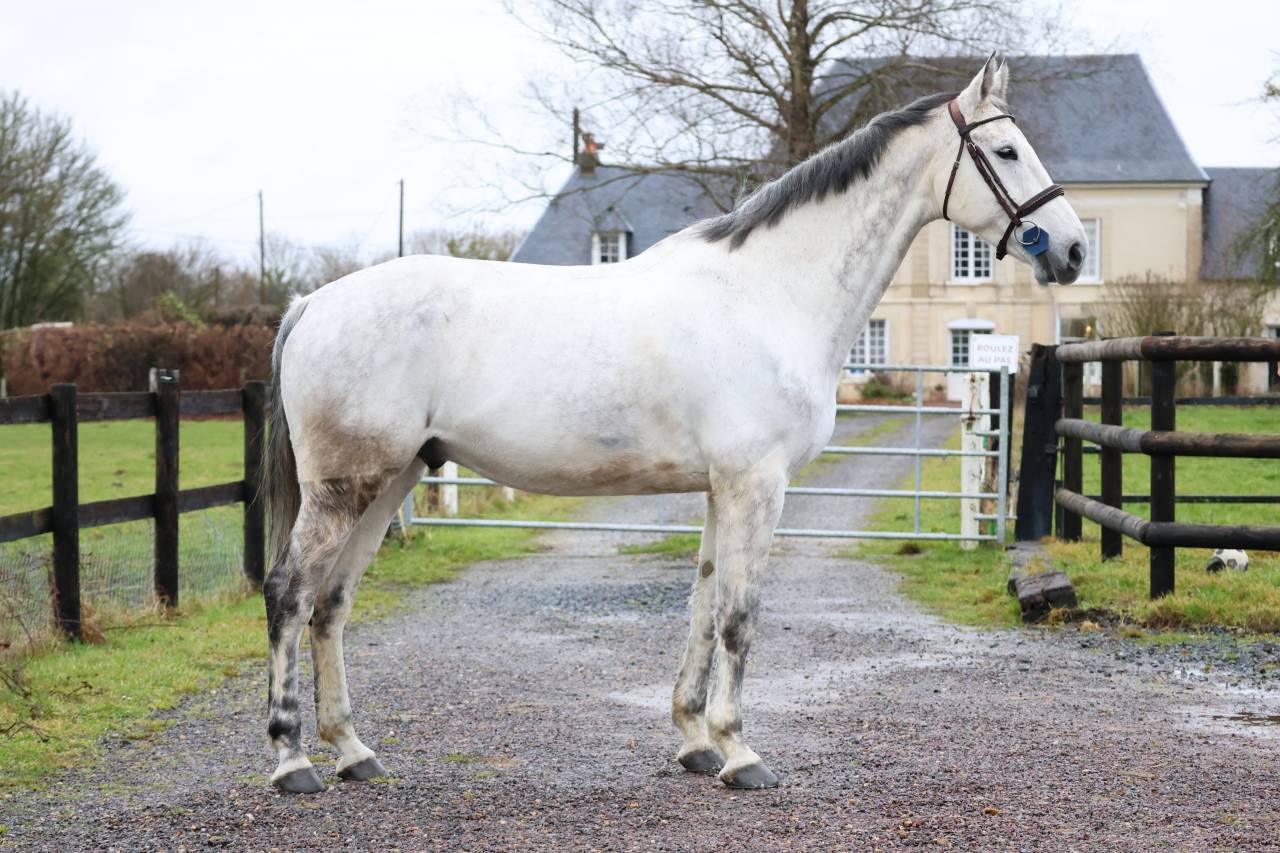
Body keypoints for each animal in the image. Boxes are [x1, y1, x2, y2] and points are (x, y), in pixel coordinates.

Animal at [260, 56, 1086, 794]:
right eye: (1007, 151)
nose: (1073, 248)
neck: (772, 292)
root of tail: (312, 303)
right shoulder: (757, 484)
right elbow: (741, 615)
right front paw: (741, 753)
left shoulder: (723, 487)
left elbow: (703, 602)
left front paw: (694, 739)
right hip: (344, 487)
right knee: (289, 593)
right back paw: (292, 759)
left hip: (391, 479)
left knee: (333, 603)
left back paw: (353, 751)